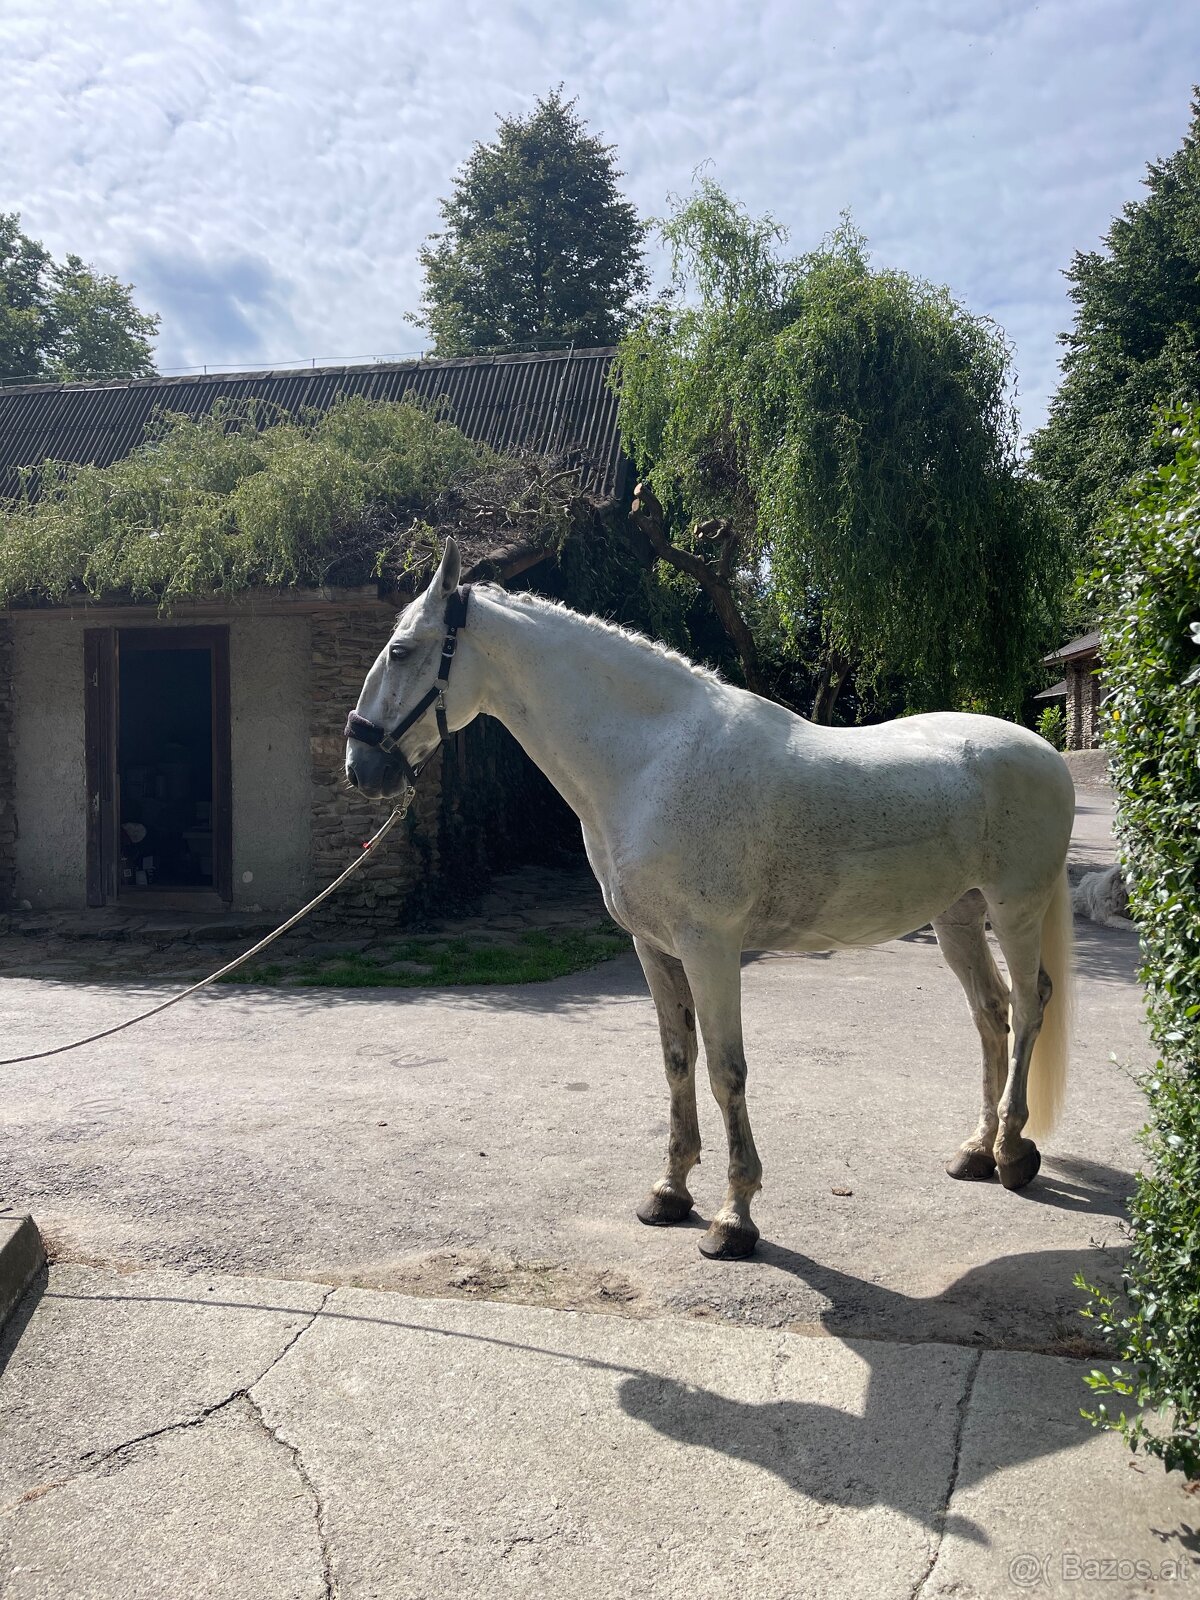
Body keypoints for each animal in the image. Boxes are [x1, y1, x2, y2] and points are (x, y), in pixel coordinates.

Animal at [345, 538, 1075, 1261]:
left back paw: (1013, 1153)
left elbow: (727, 1069)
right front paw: (669, 1192)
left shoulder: (710, 948)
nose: (361, 766)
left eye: (402, 650)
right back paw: (976, 1151)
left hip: (1015, 910)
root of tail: (1045, 751)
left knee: (1029, 1004)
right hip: (957, 917)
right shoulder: (653, 946)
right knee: (991, 1012)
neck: (651, 762)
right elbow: (678, 1060)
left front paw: (734, 1218)